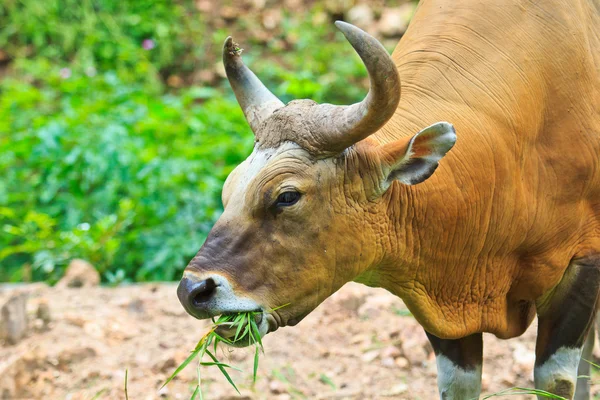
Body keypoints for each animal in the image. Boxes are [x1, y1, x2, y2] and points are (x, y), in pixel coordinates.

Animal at [177, 1, 600, 398]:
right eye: (228, 190)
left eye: (287, 196)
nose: (192, 291)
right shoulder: (439, 296)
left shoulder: (583, 264)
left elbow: (555, 379)